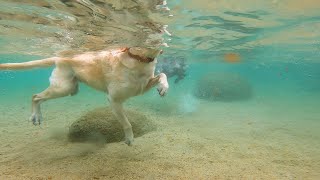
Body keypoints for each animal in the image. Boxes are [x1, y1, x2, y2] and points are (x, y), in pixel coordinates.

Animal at [0, 47, 169, 146]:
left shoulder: (143, 87)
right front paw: (129, 138)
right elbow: (127, 123)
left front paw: (163, 87)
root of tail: (59, 57)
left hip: (69, 88)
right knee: (35, 96)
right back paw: (36, 116)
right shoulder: (114, 100)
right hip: (62, 88)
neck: (139, 60)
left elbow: (162, 74)